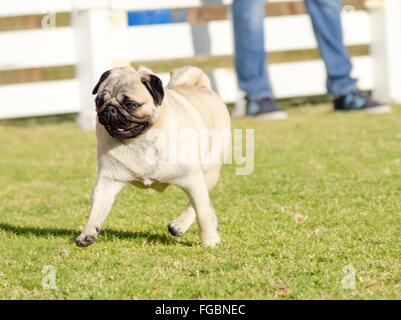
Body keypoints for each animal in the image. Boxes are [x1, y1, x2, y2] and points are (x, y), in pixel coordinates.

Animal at [75, 66, 230, 248]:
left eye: (131, 104)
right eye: (99, 102)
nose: (110, 109)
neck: (141, 140)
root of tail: (201, 86)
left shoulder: (193, 180)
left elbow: (201, 212)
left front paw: (209, 240)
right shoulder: (108, 181)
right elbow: (96, 209)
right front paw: (87, 233)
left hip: (209, 172)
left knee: (196, 205)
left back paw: (180, 226)